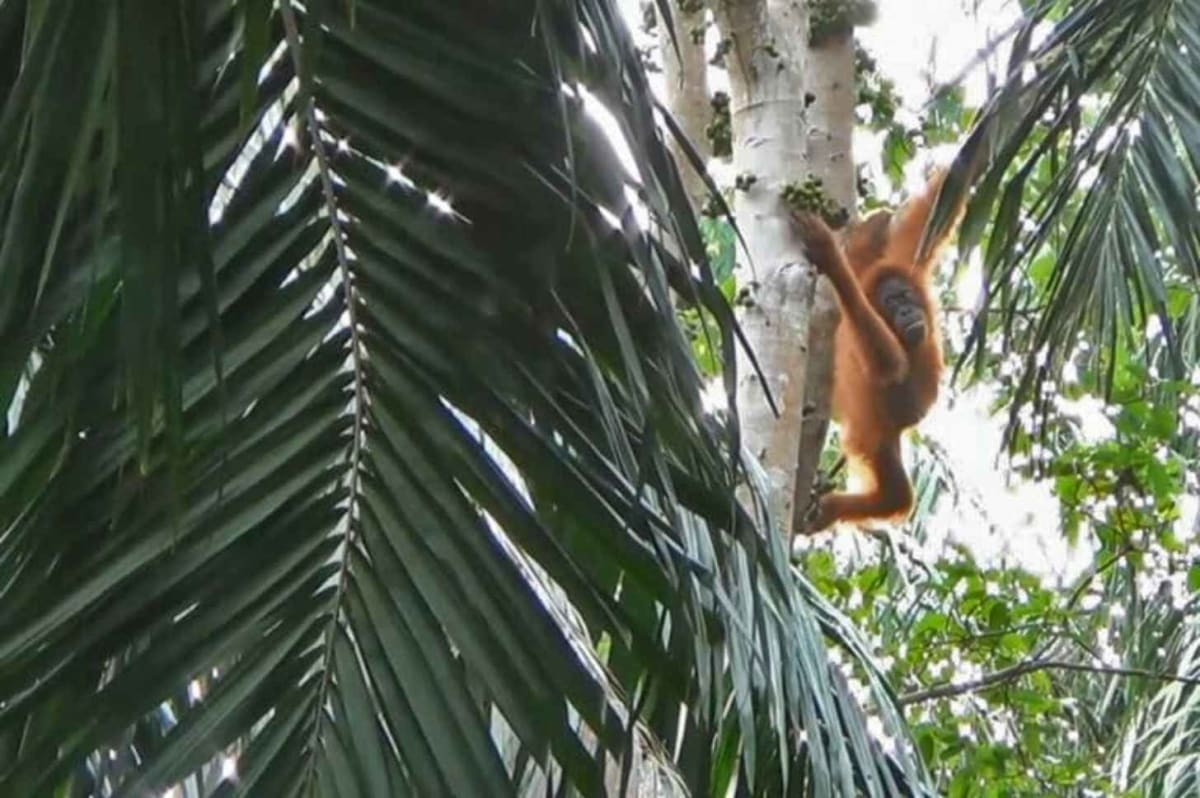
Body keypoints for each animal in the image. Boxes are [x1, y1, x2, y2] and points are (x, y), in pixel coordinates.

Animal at [792, 170, 964, 532]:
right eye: (892, 303)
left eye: (906, 297)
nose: (907, 312)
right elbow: (890, 364)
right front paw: (832, 257)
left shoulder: (906, 263)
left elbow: (939, 207)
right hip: (875, 435)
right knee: (897, 496)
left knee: (896, 497)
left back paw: (825, 509)